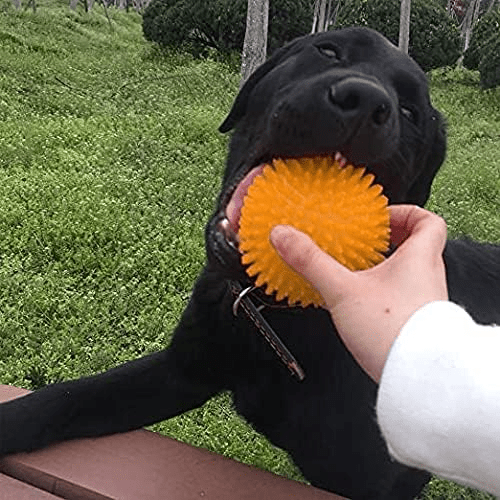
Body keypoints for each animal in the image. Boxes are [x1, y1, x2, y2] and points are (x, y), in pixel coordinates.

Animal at [0, 27, 500, 500]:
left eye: (411, 111)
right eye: (329, 51)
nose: (363, 101)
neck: (274, 313)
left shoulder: (382, 480)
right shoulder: (182, 370)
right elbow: (61, 399)